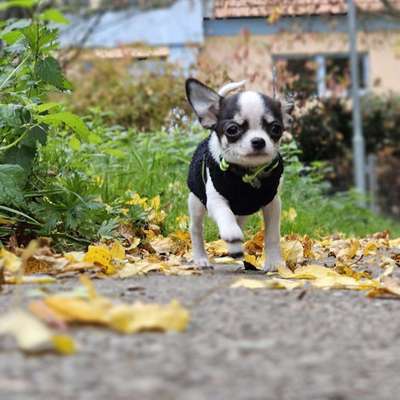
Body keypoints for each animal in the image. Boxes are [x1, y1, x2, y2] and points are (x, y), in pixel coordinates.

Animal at [185, 78, 294, 272]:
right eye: (232, 130)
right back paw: (201, 259)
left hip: (243, 213)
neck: (247, 173)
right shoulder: (215, 200)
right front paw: (231, 232)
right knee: (196, 229)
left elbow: (272, 234)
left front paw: (274, 262)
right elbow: (224, 213)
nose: (258, 141)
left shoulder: (273, 204)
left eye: (276, 128)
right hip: (196, 203)